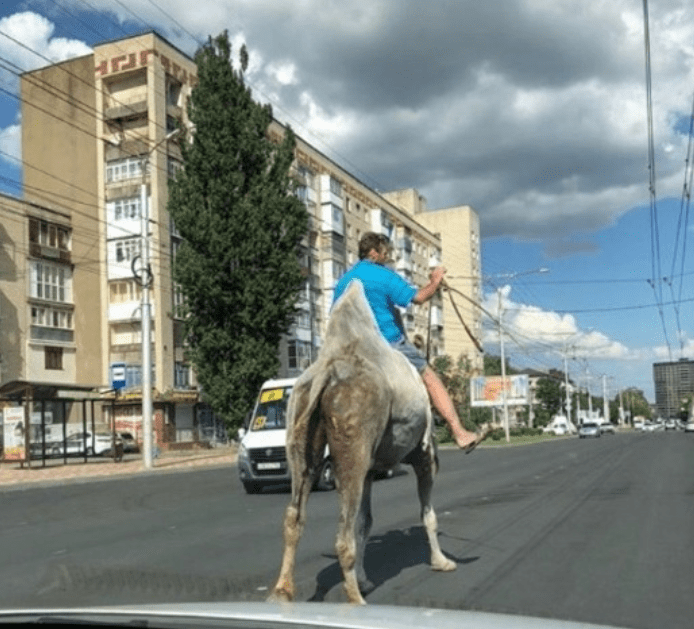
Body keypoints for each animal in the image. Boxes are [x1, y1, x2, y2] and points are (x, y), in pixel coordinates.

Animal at [270, 280, 456, 604]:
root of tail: (328, 371)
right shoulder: (424, 454)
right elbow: (427, 514)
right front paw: (441, 561)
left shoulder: (371, 467)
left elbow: (365, 522)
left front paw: (366, 579)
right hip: (353, 430)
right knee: (342, 535)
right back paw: (356, 599)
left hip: (299, 432)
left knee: (295, 516)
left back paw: (282, 592)